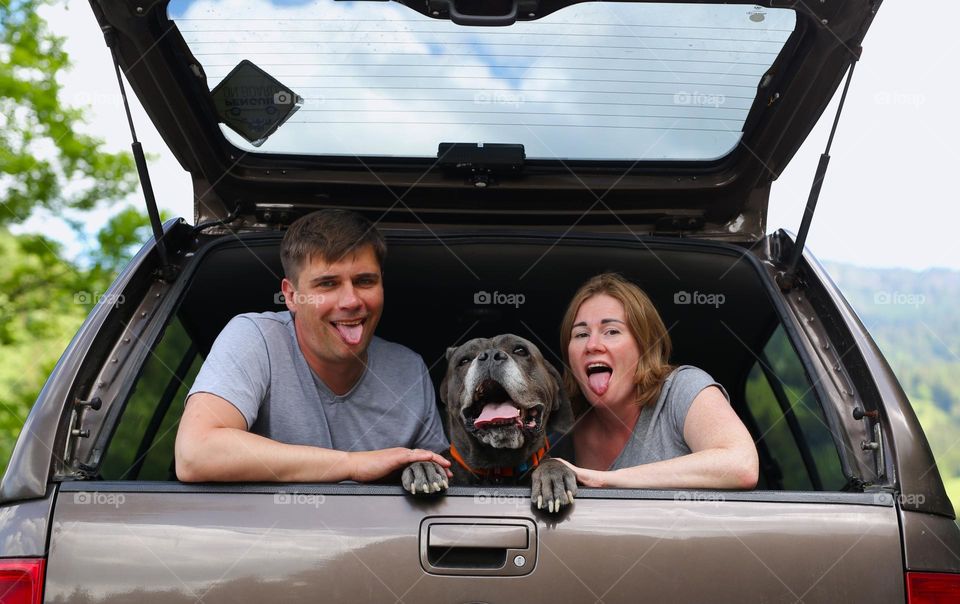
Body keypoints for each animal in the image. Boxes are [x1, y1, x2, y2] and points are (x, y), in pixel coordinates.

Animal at [400, 338, 576, 512]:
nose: (490, 355)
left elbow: (550, 462)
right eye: (464, 360)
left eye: (520, 350)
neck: (499, 467)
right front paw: (424, 467)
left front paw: (553, 474)